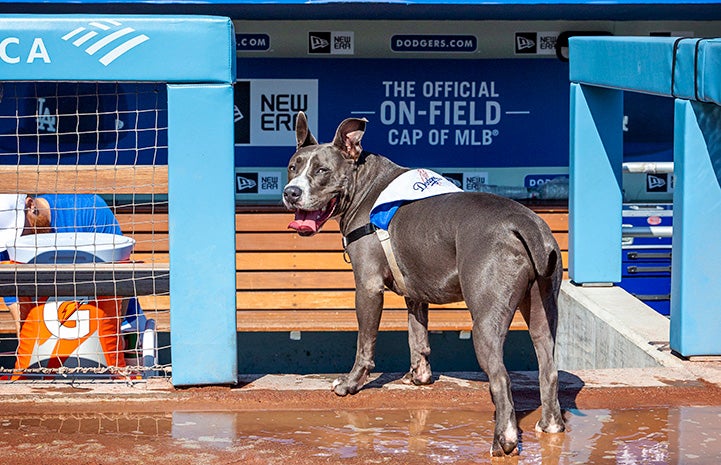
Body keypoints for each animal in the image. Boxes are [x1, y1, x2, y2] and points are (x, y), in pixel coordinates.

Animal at [282, 111, 564, 454]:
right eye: (293, 166)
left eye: (322, 170)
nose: (291, 192)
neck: (363, 182)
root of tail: (525, 223)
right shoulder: (415, 292)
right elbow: (417, 337)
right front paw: (418, 377)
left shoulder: (367, 287)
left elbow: (365, 342)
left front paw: (349, 385)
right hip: (542, 309)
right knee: (548, 368)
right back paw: (550, 425)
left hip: (485, 321)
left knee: (501, 378)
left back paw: (504, 440)